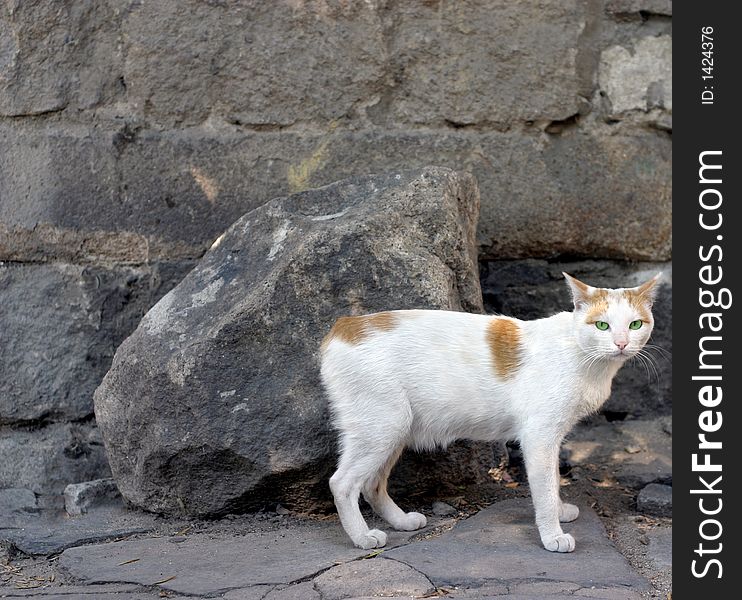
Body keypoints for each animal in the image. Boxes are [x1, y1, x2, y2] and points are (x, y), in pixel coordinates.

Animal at [322, 272, 664, 552]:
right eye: (602, 325)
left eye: (634, 325)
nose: (621, 344)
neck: (582, 354)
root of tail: (345, 324)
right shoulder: (539, 438)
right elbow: (544, 488)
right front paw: (552, 534)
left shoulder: (552, 439)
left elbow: (554, 480)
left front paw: (560, 510)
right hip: (383, 429)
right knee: (342, 483)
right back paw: (362, 537)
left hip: (393, 432)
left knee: (372, 484)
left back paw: (401, 521)